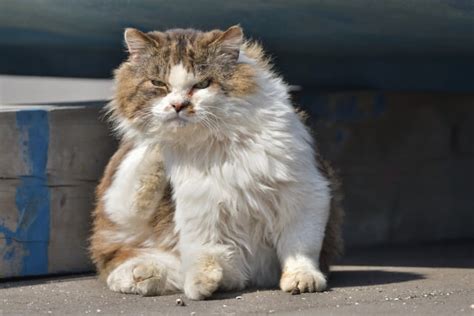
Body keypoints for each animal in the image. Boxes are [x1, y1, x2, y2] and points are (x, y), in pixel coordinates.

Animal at [89, 25, 342, 300]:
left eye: (202, 84)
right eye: (158, 83)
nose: (178, 105)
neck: (215, 144)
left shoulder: (304, 191)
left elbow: (299, 247)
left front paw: (302, 278)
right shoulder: (199, 205)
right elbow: (205, 250)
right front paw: (205, 281)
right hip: (122, 203)